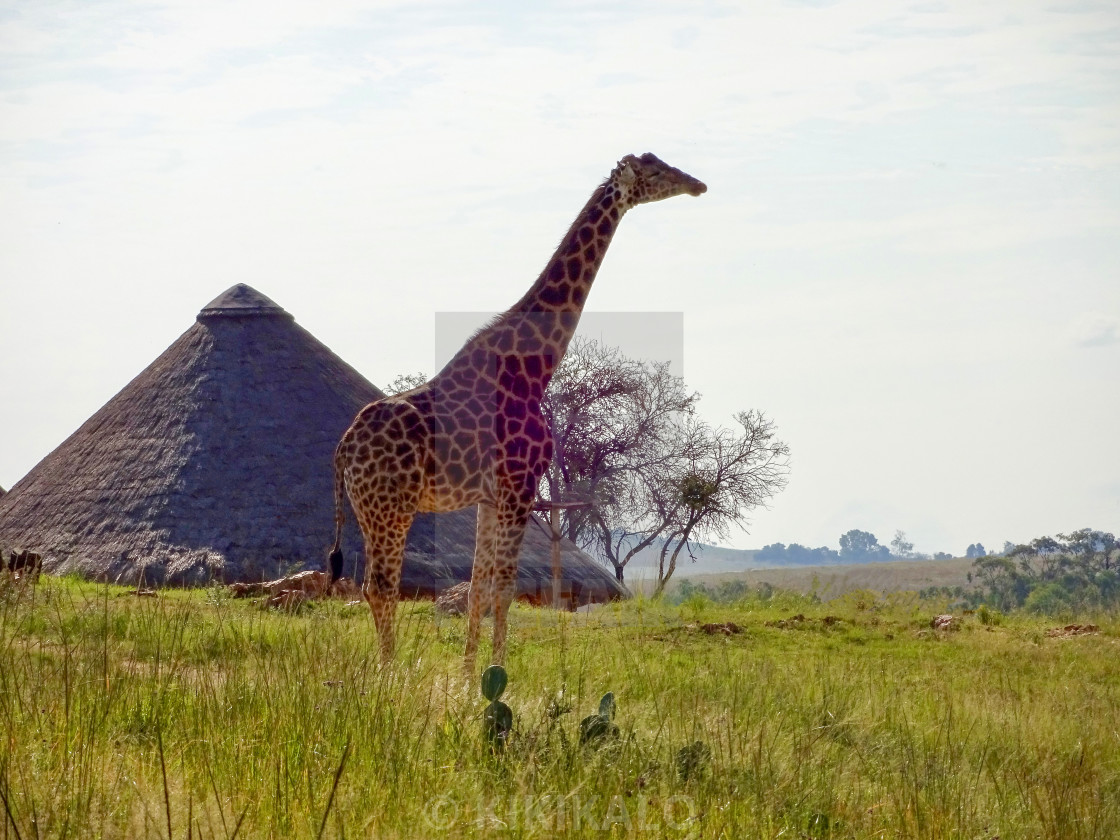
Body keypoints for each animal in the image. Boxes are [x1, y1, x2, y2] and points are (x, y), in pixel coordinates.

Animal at [327, 151, 703, 667]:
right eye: (656, 171)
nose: (697, 184)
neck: (534, 366)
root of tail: (343, 449)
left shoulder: (491, 496)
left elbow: (476, 589)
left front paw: (468, 675)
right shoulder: (520, 487)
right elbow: (503, 590)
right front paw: (495, 671)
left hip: (372, 508)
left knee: (374, 586)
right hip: (390, 505)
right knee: (379, 586)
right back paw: (389, 673)